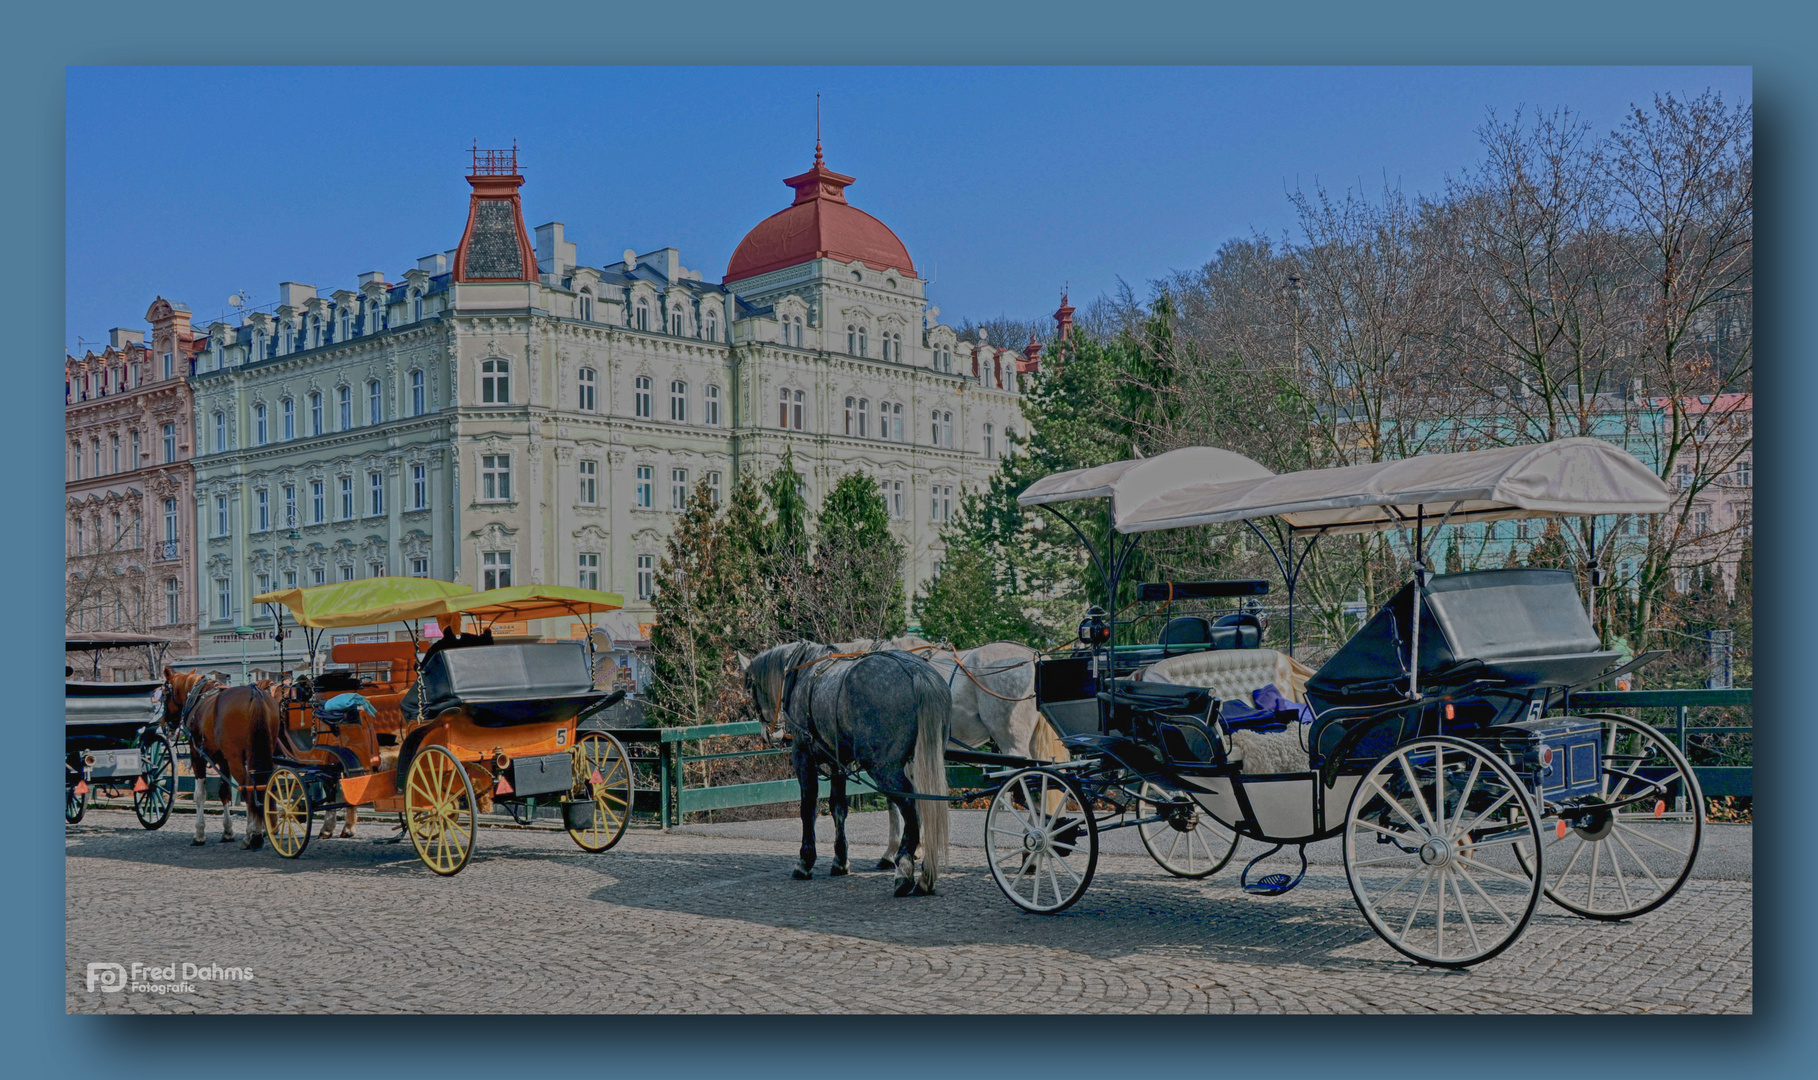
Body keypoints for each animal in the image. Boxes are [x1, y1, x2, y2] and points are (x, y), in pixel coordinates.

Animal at [161, 665, 279, 850]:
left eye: (165, 693)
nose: (166, 725)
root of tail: (255, 694)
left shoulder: (197, 756)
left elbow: (200, 794)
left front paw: (199, 834)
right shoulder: (223, 761)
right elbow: (224, 793)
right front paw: (228, 831)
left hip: (236, 759)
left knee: (247, 789)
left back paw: (252, 834)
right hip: (265, 755)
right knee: (266, 786)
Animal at [749, 640, 959, 890]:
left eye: (750, 690)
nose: (770, 735)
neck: (804, 672)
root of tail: (916, 672)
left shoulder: (803, 756)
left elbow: (808, 808)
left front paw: (805, 862)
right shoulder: (838, 762)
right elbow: (838, 808)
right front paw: (840, 860)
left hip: (884, 768)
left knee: (911, 806)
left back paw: (904, 868)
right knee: (926, 806)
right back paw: (925, 874)